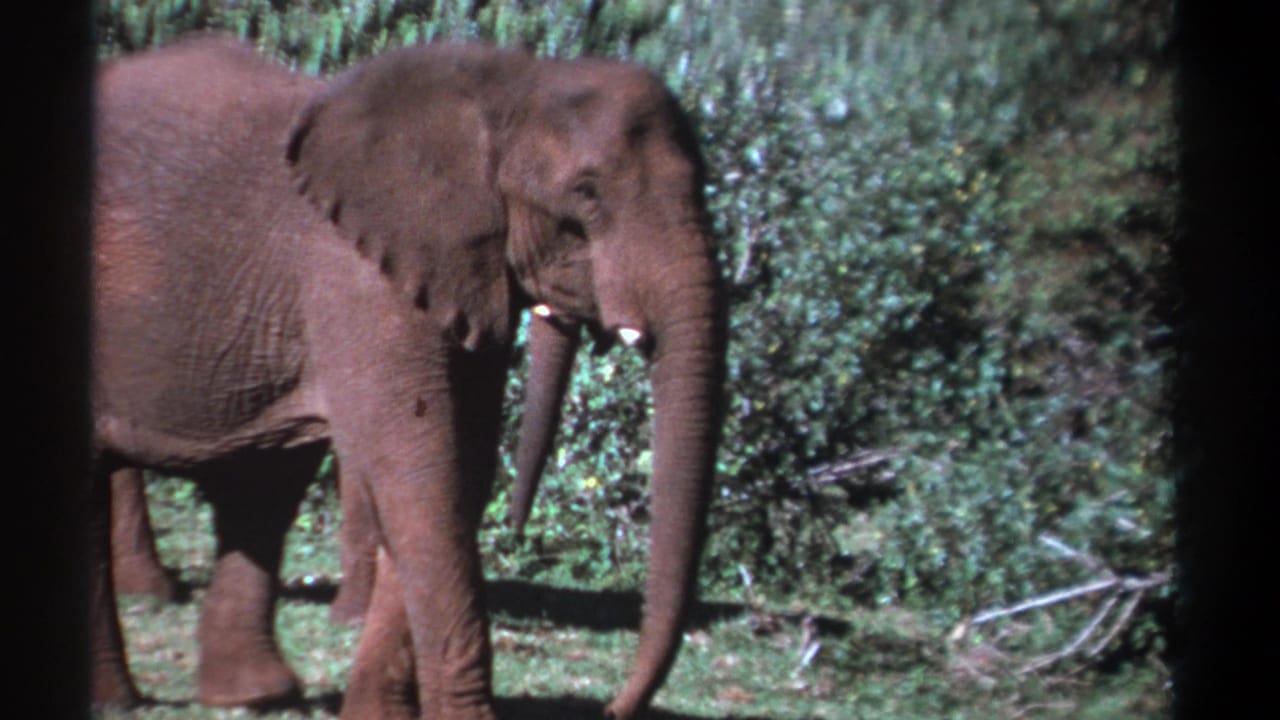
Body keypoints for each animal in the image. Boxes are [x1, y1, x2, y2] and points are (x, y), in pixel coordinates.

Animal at [91, 35, 725, 720]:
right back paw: (119, 698)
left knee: (261, 488)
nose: (613, 708)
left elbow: (458, 476)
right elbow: (420, 475)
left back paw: (251, 696)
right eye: (586, 194)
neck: (509, 87)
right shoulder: (357, 276)